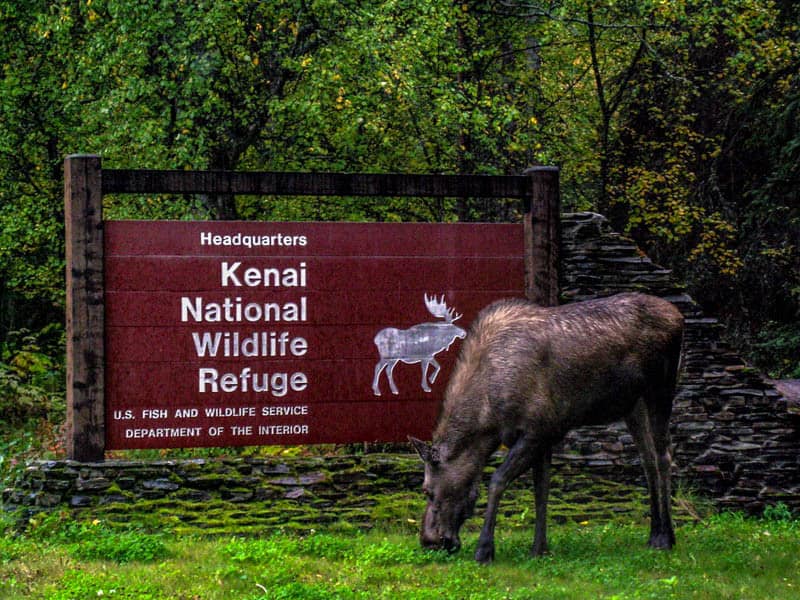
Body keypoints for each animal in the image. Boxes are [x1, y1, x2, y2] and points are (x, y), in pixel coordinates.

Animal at [412, 292, 680, 564]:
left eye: (427, 491)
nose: (428, 541)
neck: (488, 423)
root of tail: (678, 314)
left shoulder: (538, 430)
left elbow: (498, 480)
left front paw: (485, 549)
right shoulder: (544, 435)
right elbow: (541, 489)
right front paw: (540, 548)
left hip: (661, 388)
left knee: (664, 455)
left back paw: (666, 538)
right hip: (633, 406)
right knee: (648, 460)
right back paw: (653, 533)